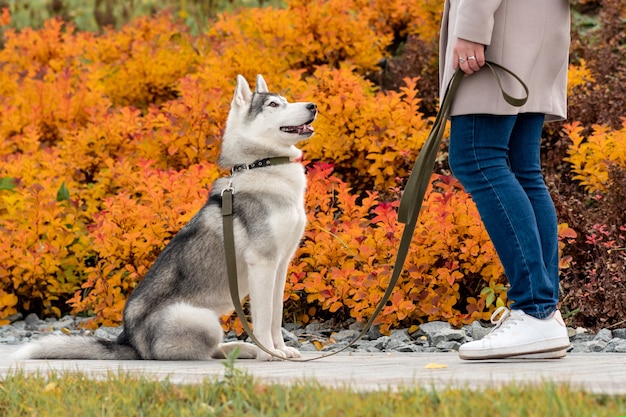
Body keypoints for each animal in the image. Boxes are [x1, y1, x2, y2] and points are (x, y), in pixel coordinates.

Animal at [13, 75, 316, 360]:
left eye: (286, 100)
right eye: (273, 105)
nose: (313, 105)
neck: (262, 165)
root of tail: (131, 342)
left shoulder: (279, 265)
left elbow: (276, 316)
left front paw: (279, 350)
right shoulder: (262, 263)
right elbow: (264, 320)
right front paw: (270, 354)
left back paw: (245, 349)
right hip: (204, 321)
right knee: (202, 351)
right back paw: (247, 350)